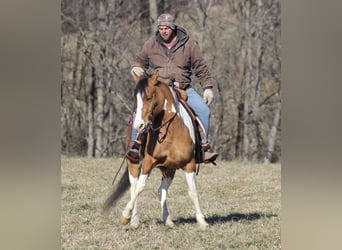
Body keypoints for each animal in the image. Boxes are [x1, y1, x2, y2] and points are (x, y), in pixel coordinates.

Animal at [103, 71, 207, 229]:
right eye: (135, 98)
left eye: (149, 97)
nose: (139, 125)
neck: (170, 132)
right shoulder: (147, 162)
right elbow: (140, 187)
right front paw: (125, 216)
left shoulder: (189, 164)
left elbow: (193, 191)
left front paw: (202, 221)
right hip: (134, 163)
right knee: (134, 187)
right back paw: (134, 219)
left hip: (169, 169)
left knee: (161, 191)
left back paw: (168, 219)